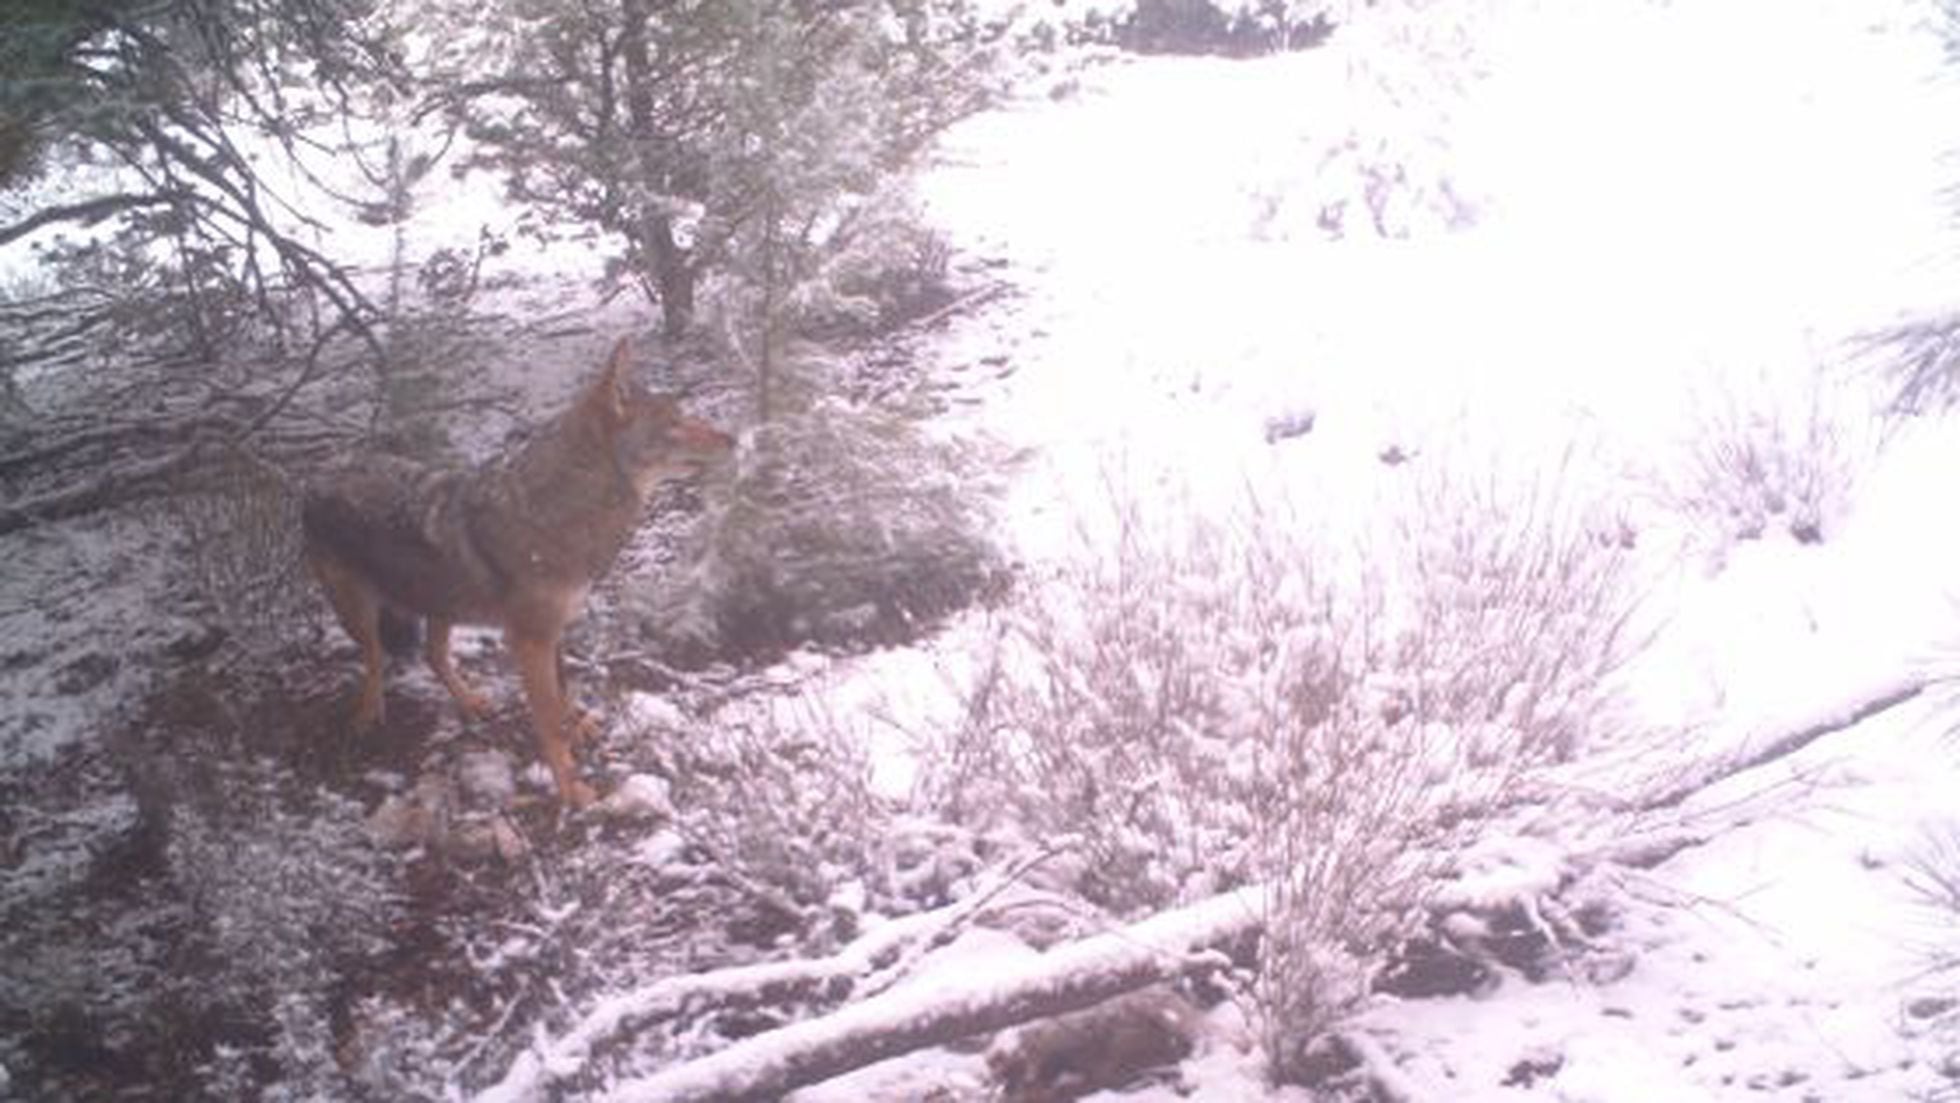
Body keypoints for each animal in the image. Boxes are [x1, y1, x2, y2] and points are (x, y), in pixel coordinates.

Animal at [297, 335, 736, 803]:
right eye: (674, 422)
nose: (732, 439)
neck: (559, 514)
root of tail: (319, 473)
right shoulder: (530, 640)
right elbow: (548, 720)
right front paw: (571, 788)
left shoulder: (554, 631)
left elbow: (563, 696)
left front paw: (577, 730)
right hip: (361, 612)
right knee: (376, 659)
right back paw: (369, 712)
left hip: (443, 603)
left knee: (433, 654)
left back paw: (470, 701)